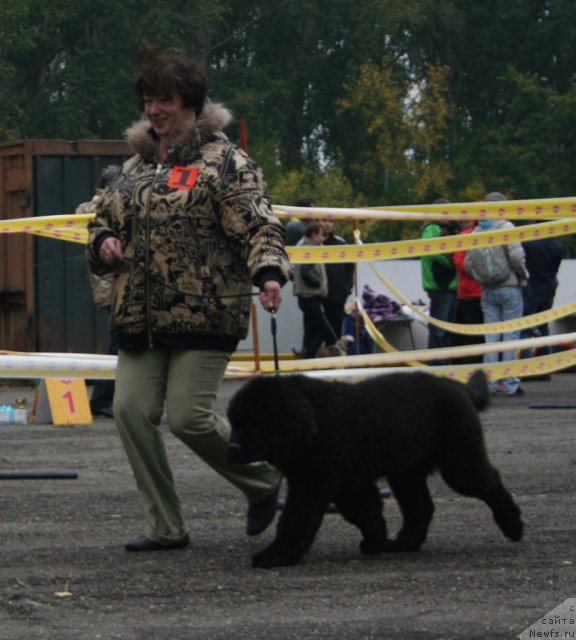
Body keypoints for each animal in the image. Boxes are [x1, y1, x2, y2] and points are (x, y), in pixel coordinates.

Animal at [227, 370, 524, 568]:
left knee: (489, 483)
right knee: (420, 507)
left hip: (459, 463)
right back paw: (403, 543)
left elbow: (296, 519)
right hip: (407, 472)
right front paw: (376, 540)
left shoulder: (314, 482)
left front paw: (276, 556)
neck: (314, 423)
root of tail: (455, 384)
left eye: (254, 424)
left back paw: (513, 526)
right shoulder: (348, 483)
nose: (231, 447)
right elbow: (364, 512)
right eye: (234, 422)